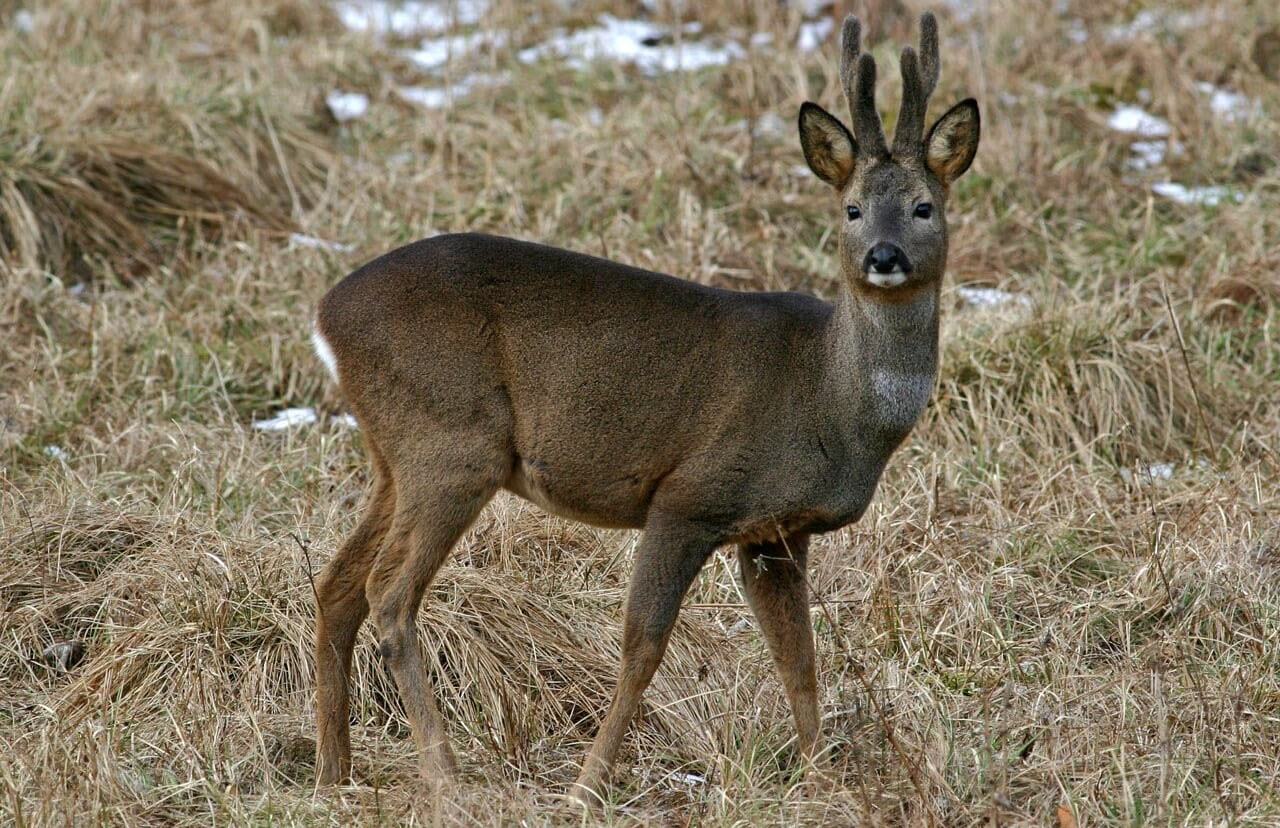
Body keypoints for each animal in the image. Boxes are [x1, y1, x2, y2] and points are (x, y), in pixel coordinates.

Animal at [309, 11, 977, 803]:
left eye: (923, 206)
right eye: (850, 208)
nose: (883, 255)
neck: (830, 399)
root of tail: (326, 318)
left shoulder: (776, 533)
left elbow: (799, 660)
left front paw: (820, 781)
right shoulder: (691, 495)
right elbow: (643, 646)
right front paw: (586, 787)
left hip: (397, 453)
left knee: (337, 583)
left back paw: (334, 773)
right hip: (451, 441)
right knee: (388, 592)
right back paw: (445, 780)